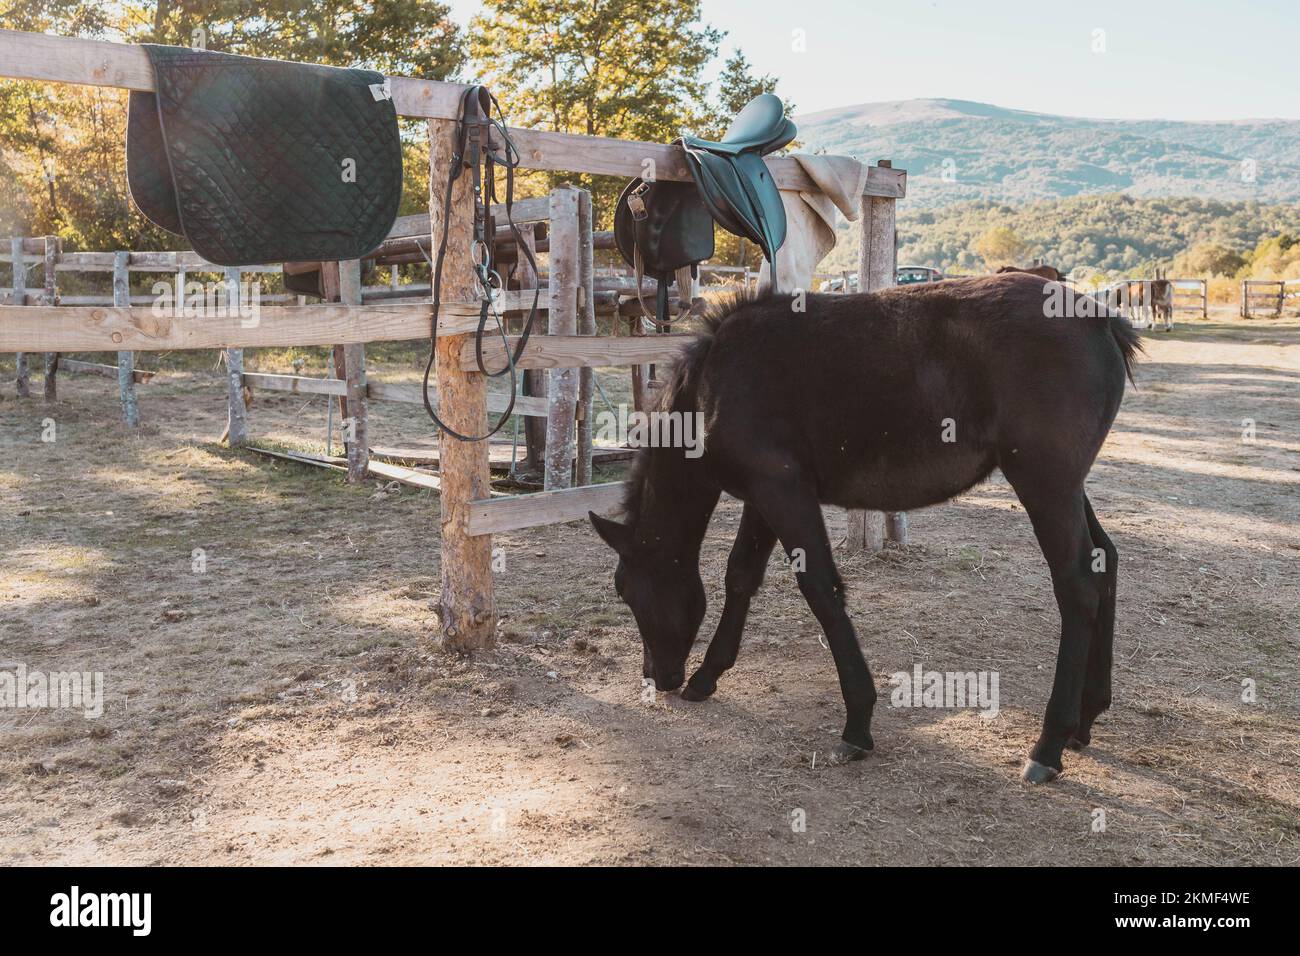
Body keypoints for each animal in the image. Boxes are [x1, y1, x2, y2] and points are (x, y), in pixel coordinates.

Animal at [589, 273, 1141, 783]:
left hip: (1044, 483)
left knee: (1077, 585)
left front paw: (857, 724)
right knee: (1105, 561)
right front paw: (707, 677)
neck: (714, 384)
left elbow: (821, 589)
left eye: (629, 592)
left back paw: (1048, 744)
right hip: (1065, 487)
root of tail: (1100, 320)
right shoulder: (765, 498)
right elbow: (741, 574)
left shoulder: (783, 493)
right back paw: (1086, 717)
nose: (656, 676)